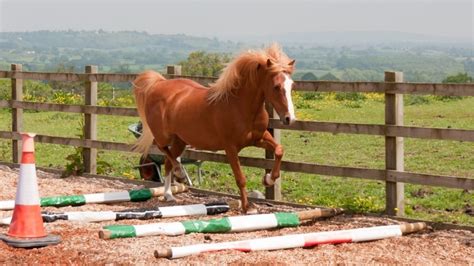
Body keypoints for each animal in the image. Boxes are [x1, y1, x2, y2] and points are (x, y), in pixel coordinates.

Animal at [133, 44, 296, 214]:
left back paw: (169, 194)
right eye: (276, 86)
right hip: (163, 135)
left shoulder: (259, 138)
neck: (240, 106)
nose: (289, 119)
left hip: (180, 140)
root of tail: (159, 83)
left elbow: (279, 150)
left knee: (167, 161)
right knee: (162, 149)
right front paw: (248, 207)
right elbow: (240, 179)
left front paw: (268, 179)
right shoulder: (230, 147)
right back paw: (180, 174)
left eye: (292, 85)